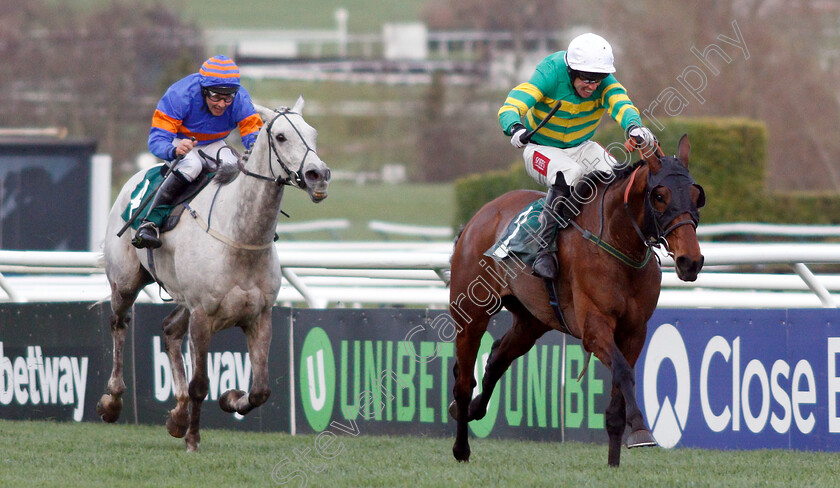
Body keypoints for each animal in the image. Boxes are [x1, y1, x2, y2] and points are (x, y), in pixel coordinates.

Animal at [100, 97, 330, 452]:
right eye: (280, 137)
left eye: (313, 133)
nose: (318, 174)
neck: (241, 238)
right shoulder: (203, 316)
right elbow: (200, 384)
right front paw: (194, 439)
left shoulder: (260, 316)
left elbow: (261, 390)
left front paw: (231, 399)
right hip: (126, 282)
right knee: (119, 324)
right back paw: (113, 401)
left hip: (183, 298)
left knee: (170, 330)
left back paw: (178, 415)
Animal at [452, 135, 704, 468]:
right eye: (660, 195)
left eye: (696, 195)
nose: (691, 261)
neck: (617, 242)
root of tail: (478, 218)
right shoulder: (594, 327)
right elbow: (623, 371)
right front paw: (640, 430)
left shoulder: (635, 330)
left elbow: (618, 396)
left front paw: (613, 462)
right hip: (470, 314)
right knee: (464, 381)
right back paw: (461, 447)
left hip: (532, 321)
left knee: (496, 358)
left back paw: (473, 410)